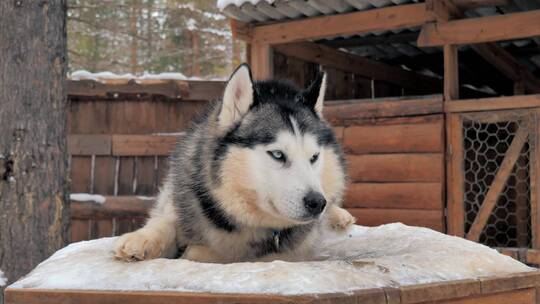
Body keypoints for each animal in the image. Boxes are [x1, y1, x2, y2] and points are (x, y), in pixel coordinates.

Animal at [115, 63, 354, 262]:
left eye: (314, 157)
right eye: (277, 154)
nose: (316, 203)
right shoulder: (182, 201)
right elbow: (165, 220)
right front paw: (141, 239)